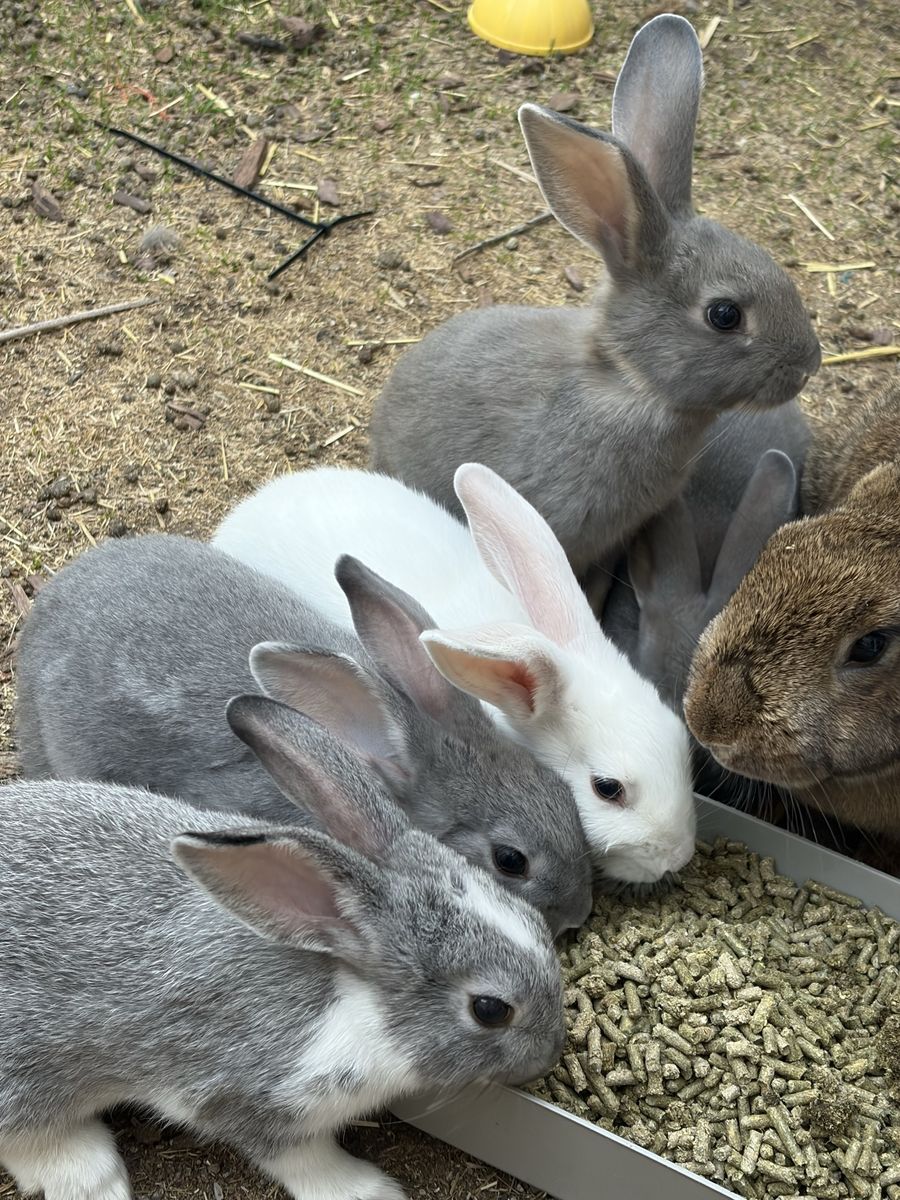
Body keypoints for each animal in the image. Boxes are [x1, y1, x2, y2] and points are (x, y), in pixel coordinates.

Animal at [0, 697, 565, 1200]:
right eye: (489, 1009)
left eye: (536, 922)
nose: (550, 1057)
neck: (356, 992)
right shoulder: (249, 1099)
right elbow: (299, 1157)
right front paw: (367, 1191)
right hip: (29, 1072)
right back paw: (92, 1177)